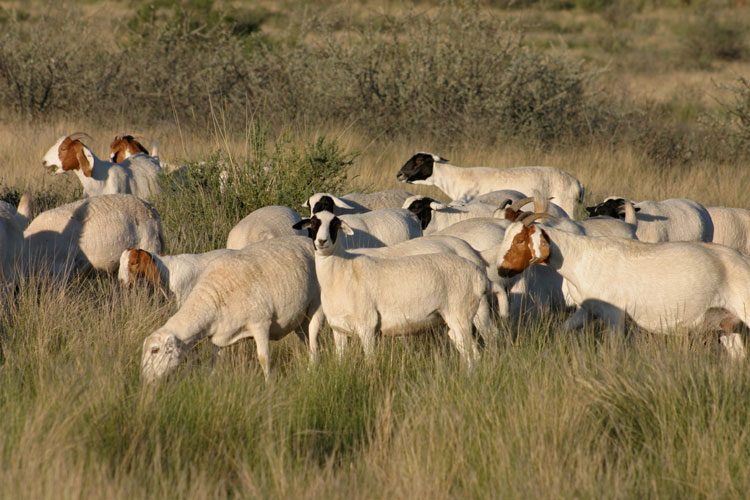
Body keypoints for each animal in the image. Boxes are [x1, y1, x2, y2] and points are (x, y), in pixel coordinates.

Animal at [141, 236, 324, 382]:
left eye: (155, 350)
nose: (145, 379)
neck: (213, 299)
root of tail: (306, 239)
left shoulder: (261, 323)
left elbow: (263, 358)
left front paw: (269, 385)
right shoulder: (219, 336)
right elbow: (214, 361)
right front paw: (211, 382)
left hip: (317, 305)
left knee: (315, 344)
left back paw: (311, 373)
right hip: (300, 319)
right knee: (308, 341)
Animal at [294, 211, 495, 365]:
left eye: (334, 225)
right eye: (313, 223)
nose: (322, 241)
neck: (343, 270)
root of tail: (478, 271)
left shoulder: (367, 326)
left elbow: (370, 360)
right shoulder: (339, 329)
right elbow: (340, 360)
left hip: (463, 312)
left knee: (479, 347)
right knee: (470, 350)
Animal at [495, 216, 750, 358]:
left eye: (519, 240)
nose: (501, 269)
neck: (581, 257)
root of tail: (743, 259)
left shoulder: (614, 316)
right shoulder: (588, 311)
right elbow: (564, 329)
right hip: (726, 323)